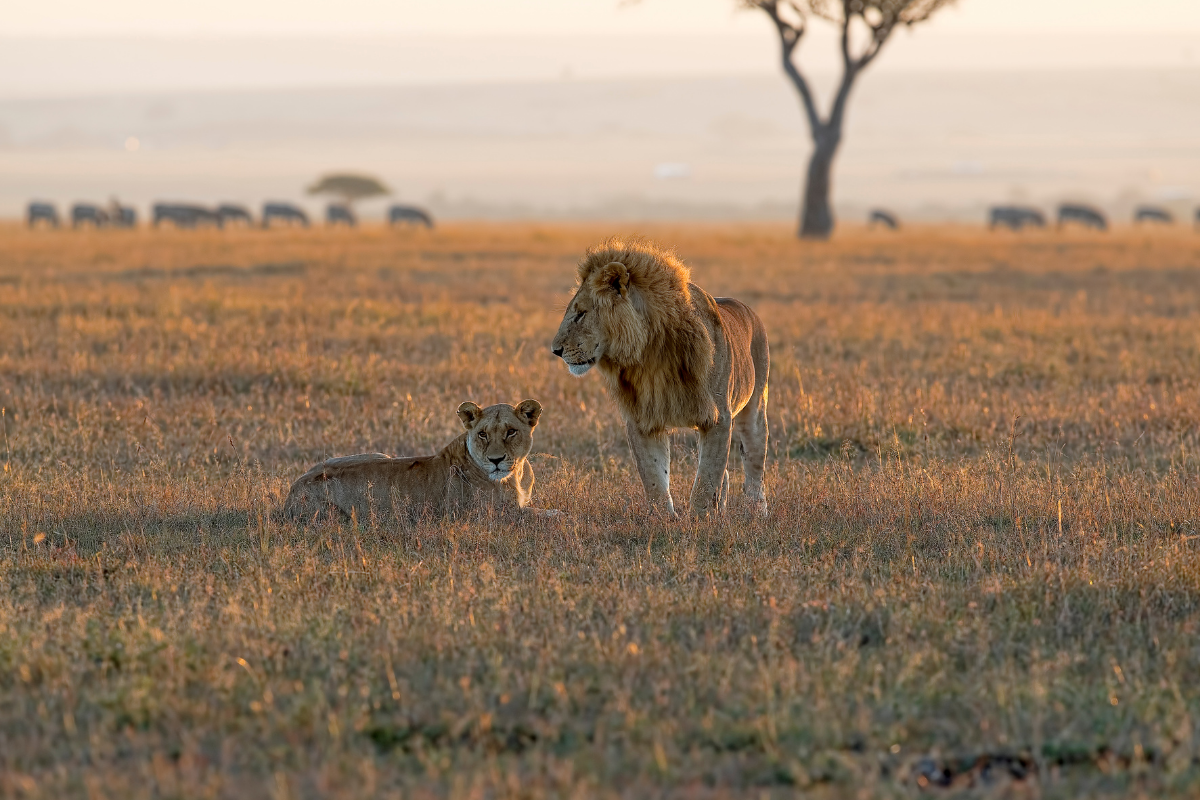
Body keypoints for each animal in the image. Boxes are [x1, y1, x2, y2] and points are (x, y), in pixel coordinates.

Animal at [283, 400, 549, 525]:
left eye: (511, 432)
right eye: (483, 434)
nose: (496, 460)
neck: (516, 475)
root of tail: (290, 493)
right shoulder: (496, 515)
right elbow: (547, 515)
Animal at [549, 236, 768, 520]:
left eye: (580, 313)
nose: (555, 350)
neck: (649, 355)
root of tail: (747, 309)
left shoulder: (719, 417)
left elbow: (706, 478)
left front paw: (699, 520)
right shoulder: (642, 419)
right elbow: (654, 476)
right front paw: (664, 519)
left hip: (755, 407)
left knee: (754, 463)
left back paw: (756, 511)